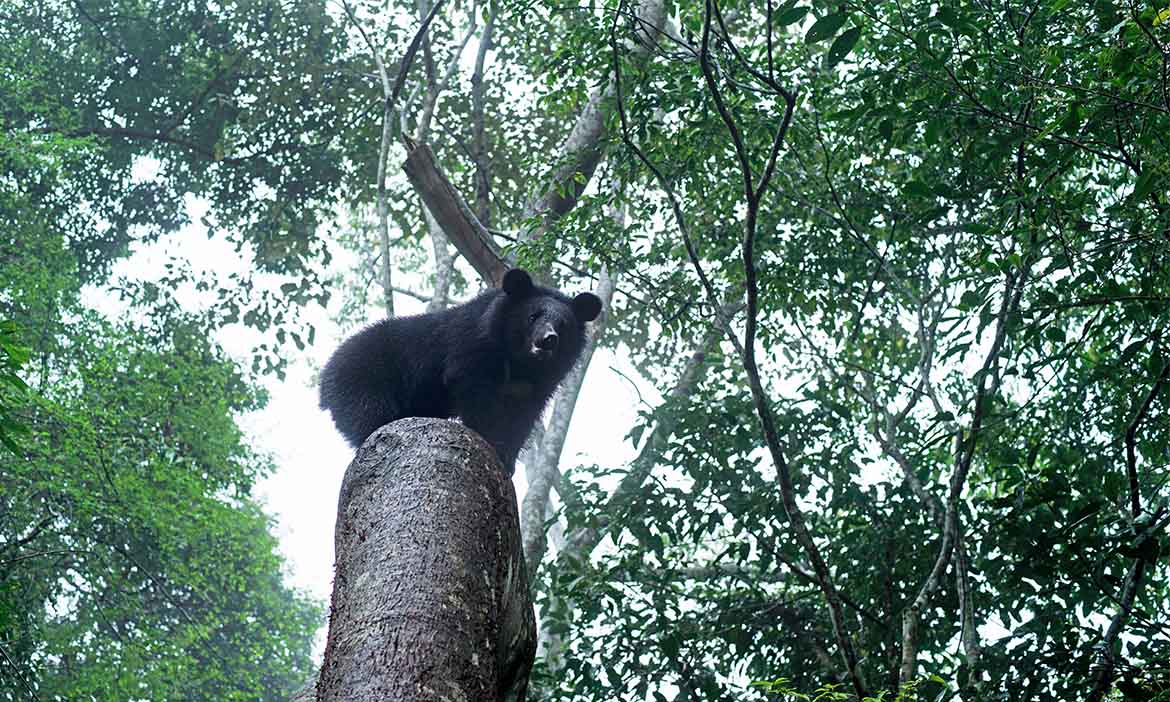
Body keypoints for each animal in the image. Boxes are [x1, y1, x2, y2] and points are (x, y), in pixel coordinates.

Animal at [318, 268, 603, 475]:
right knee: (371, 417)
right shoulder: (471, 350)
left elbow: (523, 417)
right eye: (533, 317)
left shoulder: (538, 385)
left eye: (563, 325)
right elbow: (475, 393)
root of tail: (325, 376)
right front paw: (490, 442)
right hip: (362, 381)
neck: (519, 361)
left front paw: (507, 458)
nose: (547, 340)